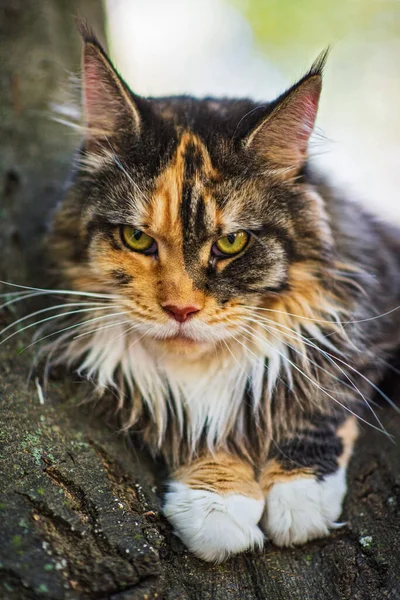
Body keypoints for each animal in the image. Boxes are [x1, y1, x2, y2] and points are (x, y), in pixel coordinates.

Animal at [25, 24, 400, 564]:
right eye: (136, 238)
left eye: (232, 242)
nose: (181, 309)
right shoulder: (142, 380)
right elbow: (191, 420)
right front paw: (217, 504)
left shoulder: (363, 312)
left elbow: (320, 397)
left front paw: (300, 496)